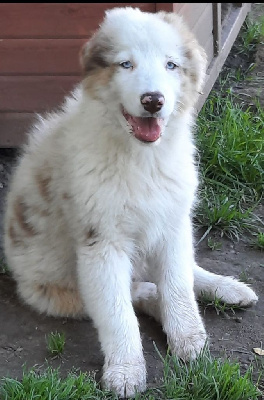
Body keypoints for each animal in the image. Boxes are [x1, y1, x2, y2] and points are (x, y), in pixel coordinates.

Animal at [4, 7, 256, 398]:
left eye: (171, 65)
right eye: (126, 64)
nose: (153, 100)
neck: (142, 158)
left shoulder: (173, 224)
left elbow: (179, 286)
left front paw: (188, 337)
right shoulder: (102, 244)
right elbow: (117, 313)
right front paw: (125, 371)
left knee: (181, 273)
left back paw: (228, 288)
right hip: (57, 291)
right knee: (137, 293)